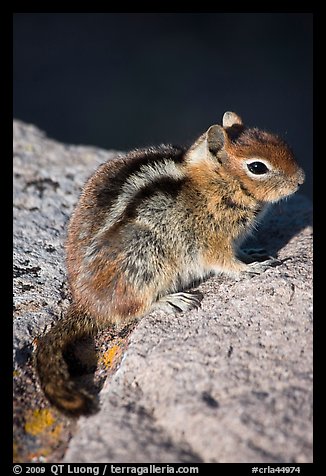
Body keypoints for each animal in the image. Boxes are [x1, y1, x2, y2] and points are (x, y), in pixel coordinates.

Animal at [35, 110, 306, 412]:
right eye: (257, 167)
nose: (301, 179)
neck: (216, 181)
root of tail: (85, 303)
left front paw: (254, 254)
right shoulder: (212, 240)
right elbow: (226, 263)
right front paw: (250, 268)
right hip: (145, 260)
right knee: (128, 311)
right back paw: (170, 301)